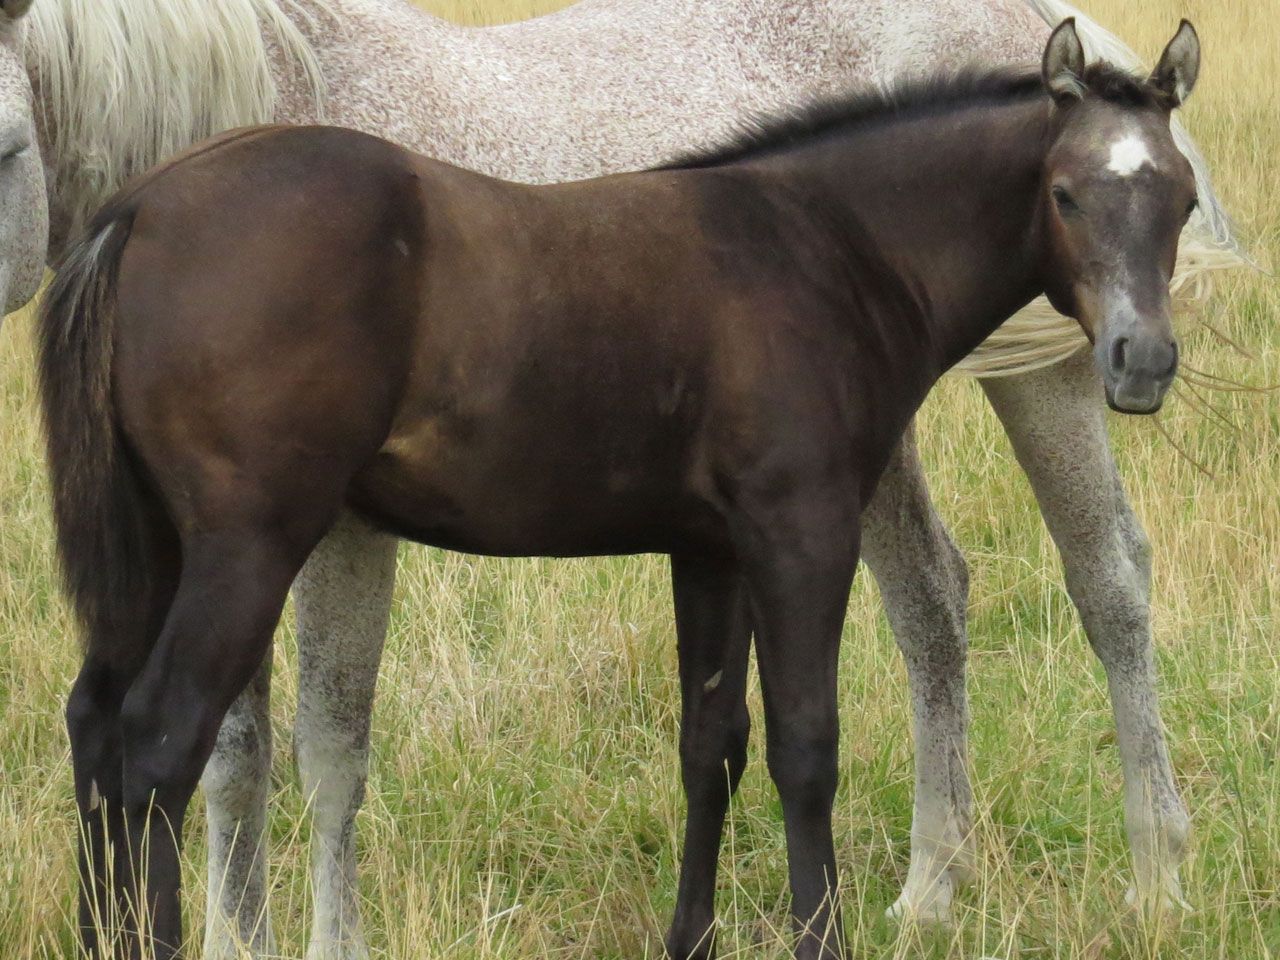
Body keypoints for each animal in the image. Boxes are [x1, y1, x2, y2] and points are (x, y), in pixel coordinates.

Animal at [0, 0, 1242, 955]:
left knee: (99, 727)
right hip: (244, 545)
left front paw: (689, 937)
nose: (1140, 361)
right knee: (156, 739)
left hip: (164, 548)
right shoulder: (795, 534)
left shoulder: (709, 548)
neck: (810, 239)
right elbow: (802, 746)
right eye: (1066, 194)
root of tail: (141, 209)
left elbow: (711, 747)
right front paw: (816, 934)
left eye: (1178, 199)